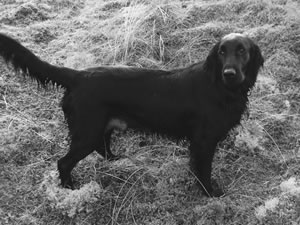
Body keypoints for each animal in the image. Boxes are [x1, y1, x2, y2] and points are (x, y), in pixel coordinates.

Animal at [0, 32, 262, 196]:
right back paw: (69, 189)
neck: (220, 87)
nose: (229, 73)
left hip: (100, 127)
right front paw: (210, 193)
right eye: (221, 52)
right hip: (86, 132)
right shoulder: (203, 142)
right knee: (64, 162)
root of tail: (78, 76)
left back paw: (117, 160)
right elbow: (203, 171)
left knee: (103, 146)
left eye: (242, 50)